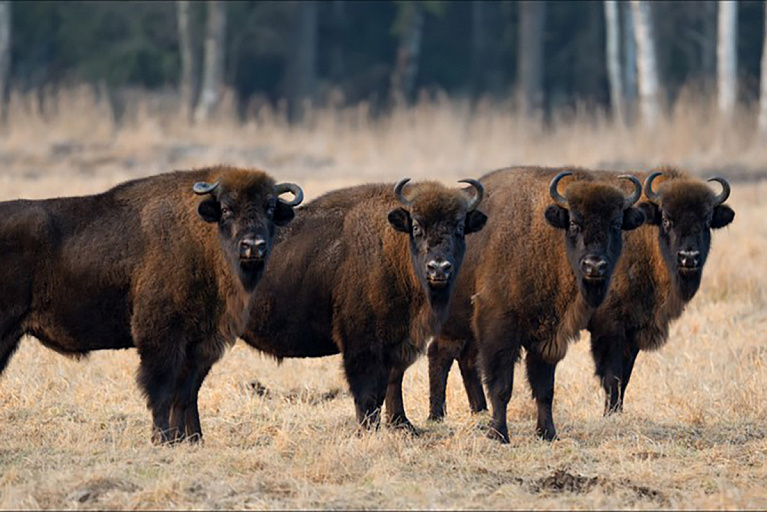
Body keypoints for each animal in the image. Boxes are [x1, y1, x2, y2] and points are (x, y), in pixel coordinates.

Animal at [0, 165, 304, 444]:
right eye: (227, 208)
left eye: (270, 207)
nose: (253, 246)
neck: (202, 236)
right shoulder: (162, 338)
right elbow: (162, 391)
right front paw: (163, 439)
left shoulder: (202, 344)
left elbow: (187, 394)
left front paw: (192, 439)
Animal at [243, 178, 488, 430]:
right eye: (416, 227)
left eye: (460, 228)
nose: (438, 268)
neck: (393, 247)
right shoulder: (363, 344)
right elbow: (368, 391)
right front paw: (370, 427)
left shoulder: (398, 343)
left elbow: (392, 383)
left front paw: (403, 424)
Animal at [424, 167, 644, 440]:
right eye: (574, 223)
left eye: (616, 224)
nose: (594, 265)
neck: (548, 242)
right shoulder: (500, 330)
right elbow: (502, 386)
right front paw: (499, 434)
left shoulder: (548, 337)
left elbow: (545, 388)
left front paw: (547, 433)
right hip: (453, 324)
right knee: (439, 354)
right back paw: (436, 416)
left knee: (457, 358)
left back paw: (475, 412)